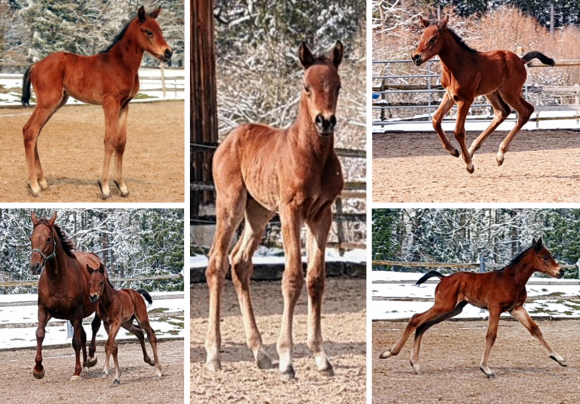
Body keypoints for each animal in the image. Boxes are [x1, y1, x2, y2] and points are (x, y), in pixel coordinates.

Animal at [21, 6, 174, 199]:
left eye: (160, 30)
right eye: (149, 32)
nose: (168, 52)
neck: (120, 64)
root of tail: (36, 64)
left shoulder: (124, 105)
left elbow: (121, 142)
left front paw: (122, 186)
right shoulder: (110, 103)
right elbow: (110, 140)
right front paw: (105, 186)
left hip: (57, 103)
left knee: (35, 133)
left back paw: (41, 182)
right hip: (48, 102)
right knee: (30, 131)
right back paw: (33, 185)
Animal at [30, 213, 102, 380]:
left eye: (48, 238)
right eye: (31, 238)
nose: (34, 266)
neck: (58, 279)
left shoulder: (76, 312)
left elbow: (76, 341)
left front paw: (76, 372)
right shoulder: (44, 310)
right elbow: (40, 334)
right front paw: (38, 369)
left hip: (95, 307)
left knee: (94, 327)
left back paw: (91, 358)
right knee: (83, 334)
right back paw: (85, 364)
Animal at [205, 39, 344, 380]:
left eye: (337, 86)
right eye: (306, 87)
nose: (325, 121)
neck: (312, 155)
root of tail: (229, 139)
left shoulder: (321, 215)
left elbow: (316, 280)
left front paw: (320, 358)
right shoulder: (291, 211)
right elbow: (292, 278)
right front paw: (287, 360)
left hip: (258, 214)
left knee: (239, 262)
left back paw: (259, 352)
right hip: (231, 205)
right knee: (216, 262)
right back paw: (214, 355)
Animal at [376, 238, 568, 378]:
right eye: (545, 257)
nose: (561, 271)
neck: (512, 280)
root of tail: (443, 278)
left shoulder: (516, 308)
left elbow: (535, 329)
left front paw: (559, 358)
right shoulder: (495, 308)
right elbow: (491, 335)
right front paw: (486, 369)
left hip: (453, 310)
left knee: (422, 326)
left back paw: (415, 364)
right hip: (443, 305)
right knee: (416, 318)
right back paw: (389, 353)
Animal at [414, 16, 556, 172]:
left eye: (433, 39)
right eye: (422, 37)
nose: (416, 57)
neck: (459, 65)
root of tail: (521, 60)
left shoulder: (466, 100)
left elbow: (459, 131)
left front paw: (469, 165)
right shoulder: (450, 96)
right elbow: (435, 120)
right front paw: (454, 151)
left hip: (509, 93)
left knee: (526, 111)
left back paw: (499, 154)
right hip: (493, 93)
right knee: (503, 112)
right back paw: (473, 151)